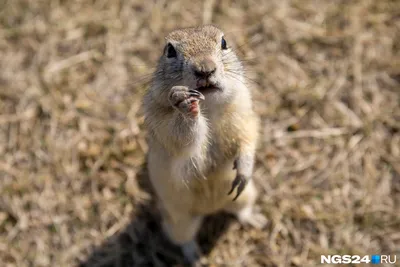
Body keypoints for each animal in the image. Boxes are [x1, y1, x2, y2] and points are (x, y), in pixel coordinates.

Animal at [143, 26, 266, 264]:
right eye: (169, 50)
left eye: (224, 42)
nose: (205, 69)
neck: (208, 107)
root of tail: (211, 209)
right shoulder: (163, 124)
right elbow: (181, 138)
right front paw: (184, 101)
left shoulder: (244, 111)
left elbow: (248, 137)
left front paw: (244, 170)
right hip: (179, 221)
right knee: (183, 239)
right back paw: (195, 257)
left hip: (247, 195)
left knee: (240, 210)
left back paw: (257, 219)